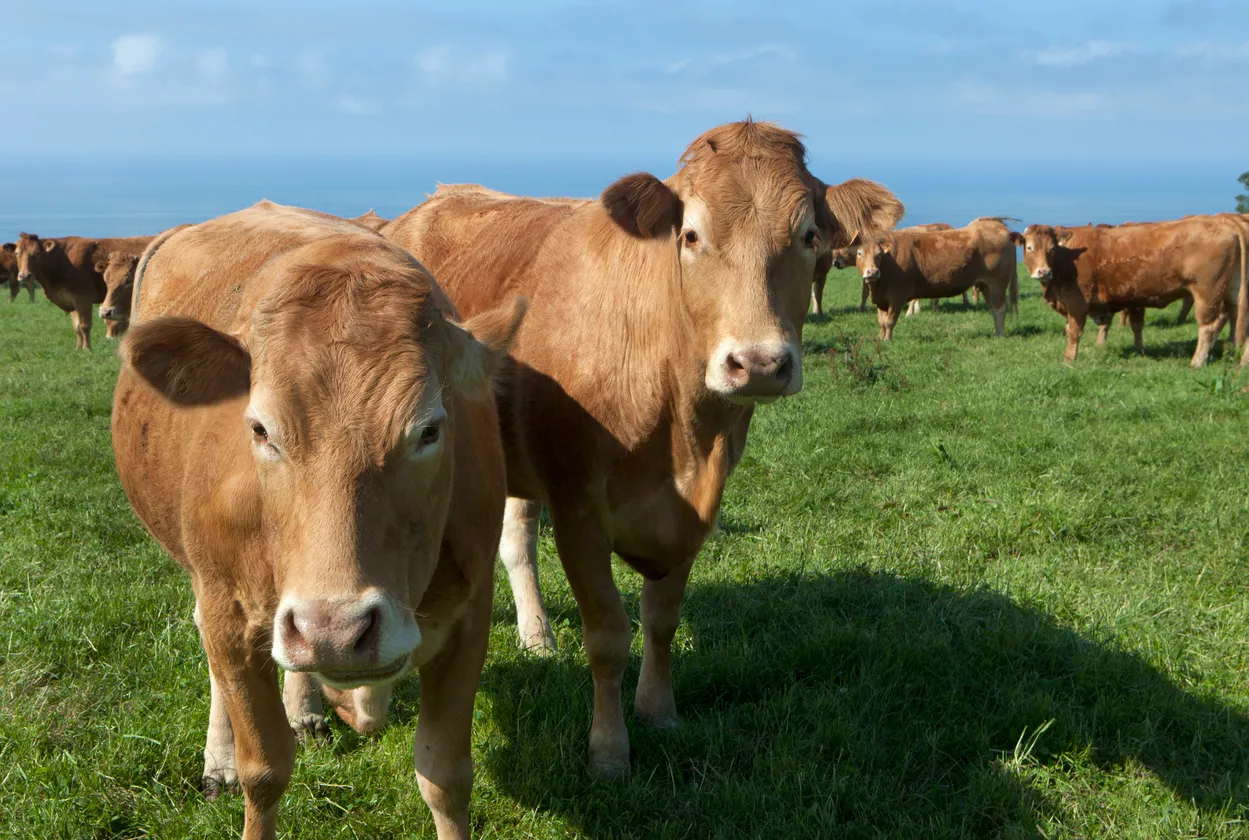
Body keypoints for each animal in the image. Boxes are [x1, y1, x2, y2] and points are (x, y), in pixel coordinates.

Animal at [111, 201, 526, 840]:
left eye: (430, 429)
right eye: (260, 429)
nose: (334, 630)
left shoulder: (470, 612)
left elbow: (445, 775)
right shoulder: (228, 610)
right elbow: (264, 771)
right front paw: (242, 762)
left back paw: (306, 706)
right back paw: (220, 755)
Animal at [382, 119, 903, 778]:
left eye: (810, 235)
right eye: (691, 235)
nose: (759, 363)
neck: (680, 431)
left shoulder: (694, 509)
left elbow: (661, 620)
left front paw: (659, 711)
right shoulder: (578, 510)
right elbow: (608, 635)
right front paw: (609, 749)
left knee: (517, 540)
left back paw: (536, 635)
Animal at [856, 217, 1018, 340]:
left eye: (879, 254)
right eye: (859, 253)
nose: (872, 272)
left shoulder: (897, 296)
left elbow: (890, 321)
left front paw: (888, 340)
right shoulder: (881, 299)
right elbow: (881, 322)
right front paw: (880, 339)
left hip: (997, 284)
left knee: (1000, 309)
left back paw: (1000, 335)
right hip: (985, 286)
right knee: (993, 309)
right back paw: (996, 333)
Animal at [1012, 214, 1249, 366]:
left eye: (1052, 249)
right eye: (1030, 247)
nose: (1044, 272)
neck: (1067, 257)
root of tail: (1224, 221)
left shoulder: (1077, 302)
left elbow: (1074, 331)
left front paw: (1069, 359)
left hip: (1207, 292)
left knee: (1210, 324)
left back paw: (1198, 361)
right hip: (1232, 290)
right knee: (1236, 317)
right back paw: (1231, 352)